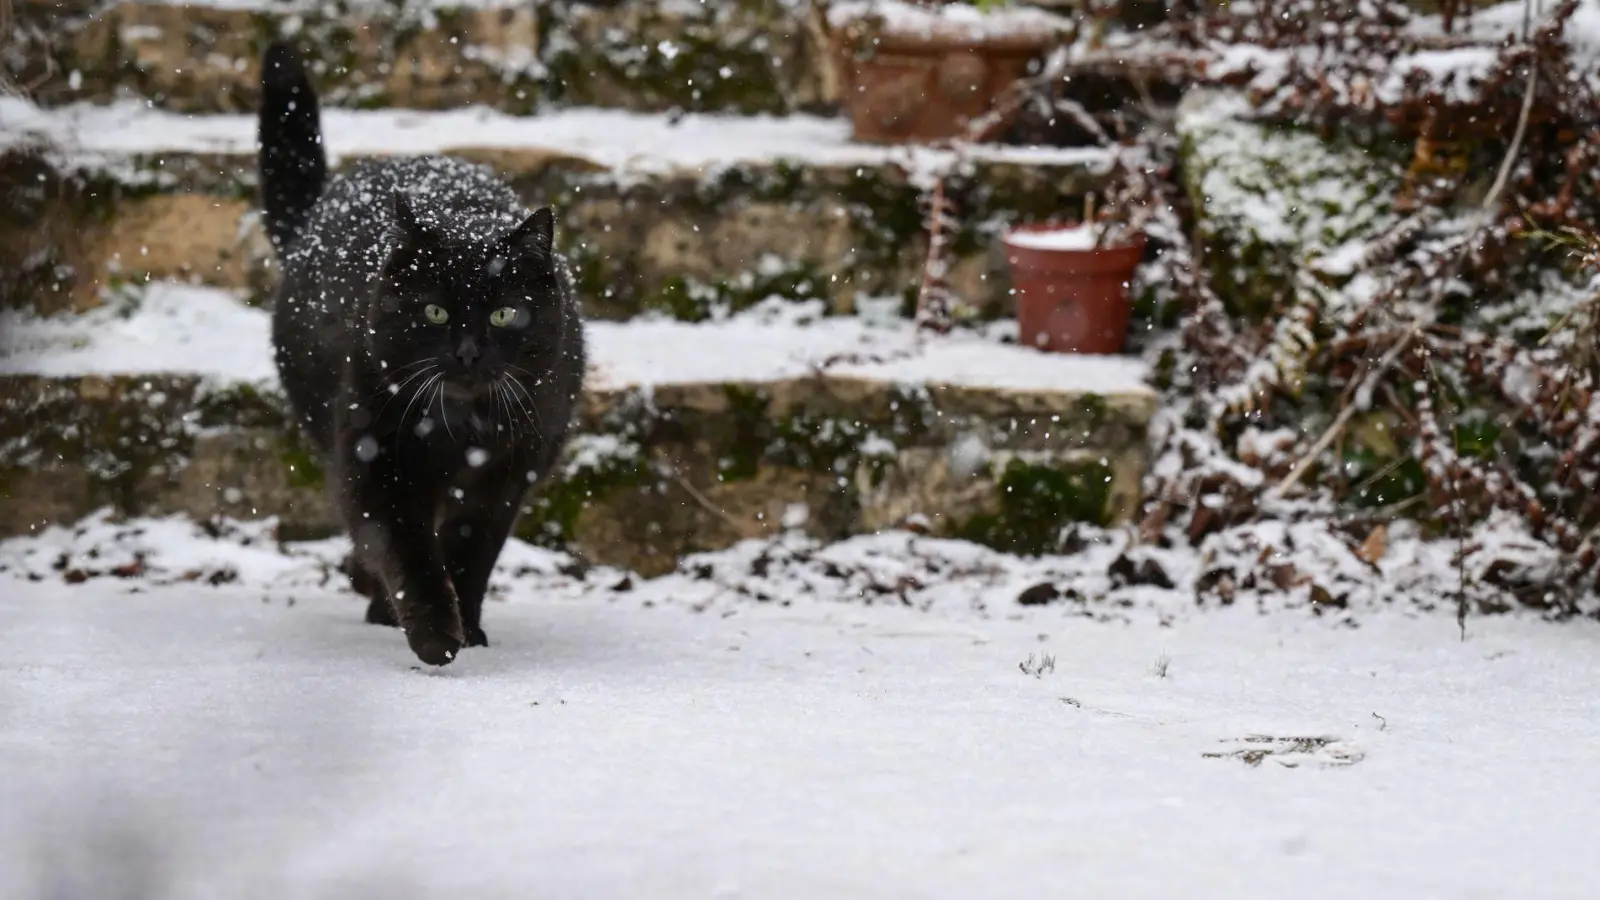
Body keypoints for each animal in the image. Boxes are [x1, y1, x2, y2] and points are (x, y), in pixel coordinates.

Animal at [259, 42, 585, 662]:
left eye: (504, 314)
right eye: (434, 312)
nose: (467, 352)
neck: (462, 426)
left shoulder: (506, 475)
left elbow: (470, 552)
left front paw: (470, 630)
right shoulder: (377, 458)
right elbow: (405, 549)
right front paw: (434, 635)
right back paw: (378, 606)